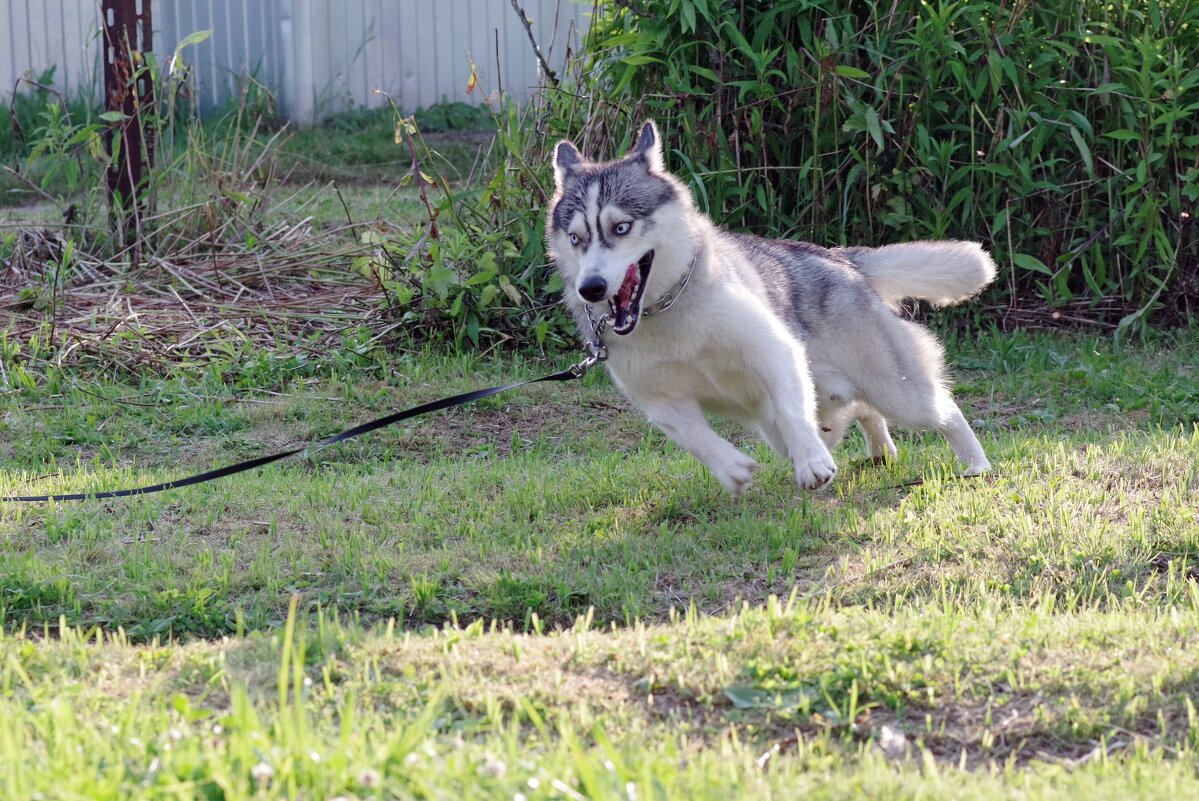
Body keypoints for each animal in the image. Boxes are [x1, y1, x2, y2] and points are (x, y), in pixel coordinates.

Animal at [546, 120, 992, 494]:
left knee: (942, 409)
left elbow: (793, 414)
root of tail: (841, 258)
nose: (590, 288)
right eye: (576, 238)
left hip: (896, 389)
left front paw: (811, 463)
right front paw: (730, 468)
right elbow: (695, 438)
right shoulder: (658, 400)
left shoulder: (774, 351)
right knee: (858, 411)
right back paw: (881, 450)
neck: (666, 311)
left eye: (621, 227)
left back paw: (975, 463)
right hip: (815, 408)